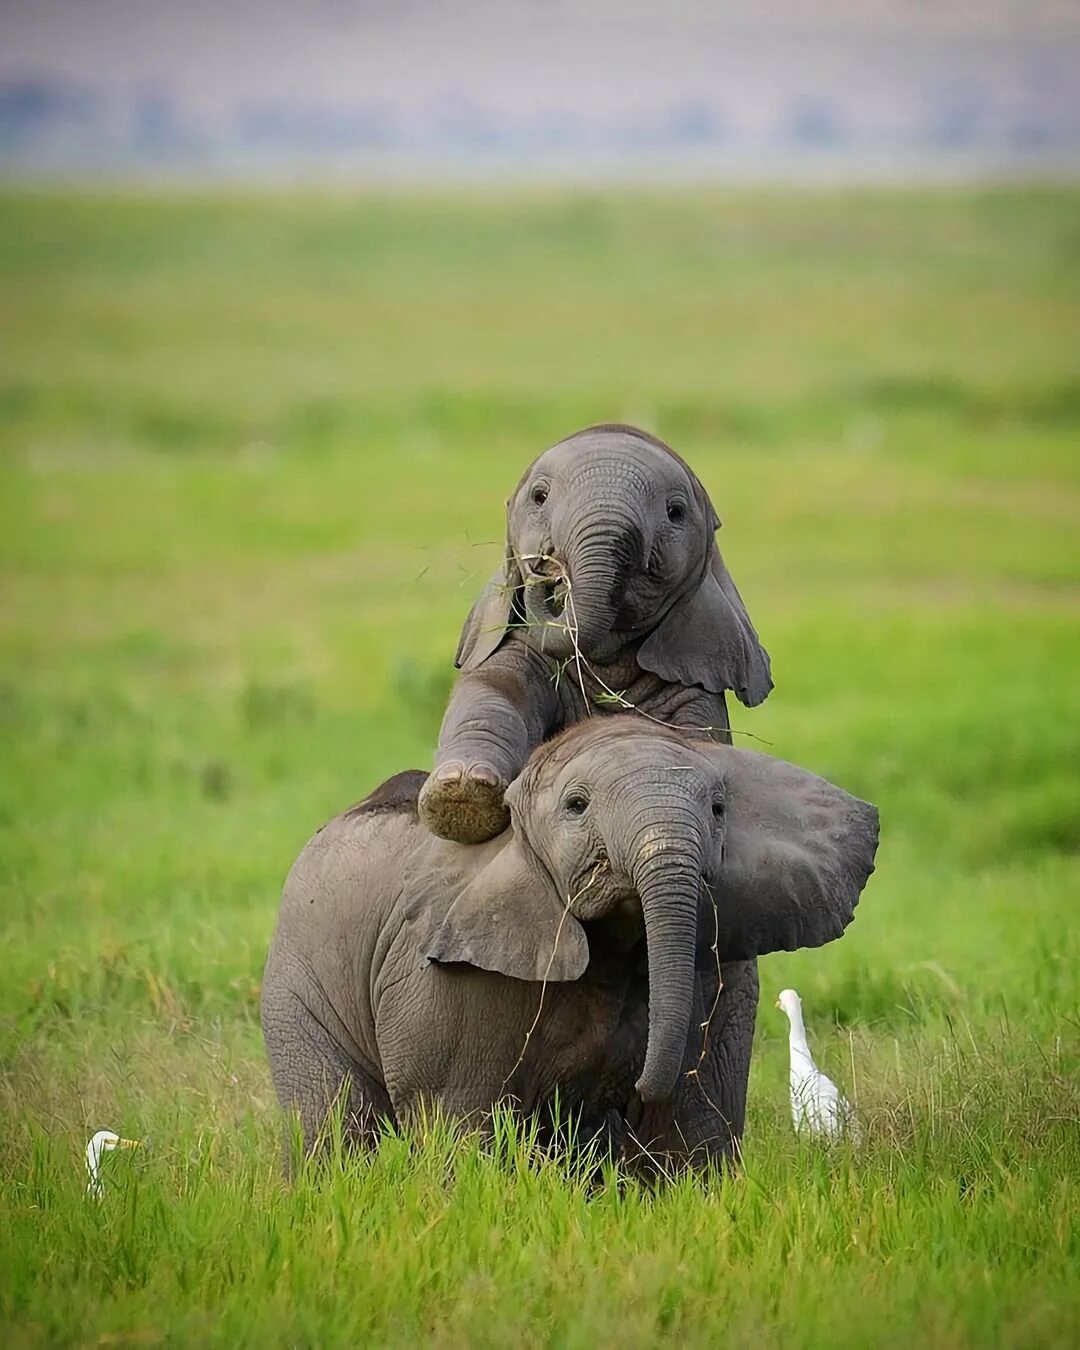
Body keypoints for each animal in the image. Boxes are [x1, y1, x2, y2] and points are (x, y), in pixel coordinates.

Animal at [261, 723, 874, 1177]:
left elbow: (693, 1122)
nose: (635, 1087)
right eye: (576, 806)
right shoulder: (446, 979)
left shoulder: (723, 971)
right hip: (297, 978)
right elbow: (459, 1122)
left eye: (720, 809)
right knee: (333, 1122)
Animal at [415, 421, 777, 842]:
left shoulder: (694, 681)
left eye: (676, 512)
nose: (545, 566)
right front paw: (461, 797)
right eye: (539, 497)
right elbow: (493, 691)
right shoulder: (517, 644)